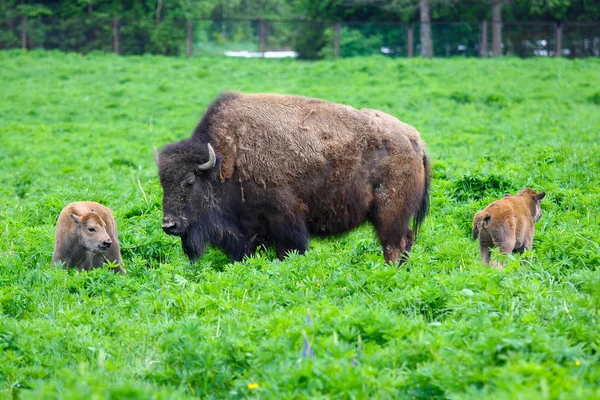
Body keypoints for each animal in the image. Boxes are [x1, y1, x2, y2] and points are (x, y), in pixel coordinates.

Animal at [152, 92, 428, 264]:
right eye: (163, 183)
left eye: (189, 181)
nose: (169, 225)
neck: (226, 158)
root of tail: (413, 139)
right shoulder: (250, 232)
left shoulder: (285, 221)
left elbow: (290, 250)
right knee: (406, 240)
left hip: (390, 211)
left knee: (393, 243)